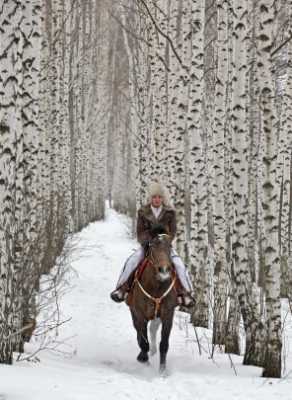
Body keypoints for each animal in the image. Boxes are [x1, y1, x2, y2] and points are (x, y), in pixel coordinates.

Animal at [128, 233, 178, 374]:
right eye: (153, 246)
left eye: (170, 246)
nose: (164, 270)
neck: (156, 288)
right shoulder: (140, 314)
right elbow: (143, 340)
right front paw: (143, 359)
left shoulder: (167, 315)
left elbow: (164, 344)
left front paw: (162, 371)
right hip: (134, 313)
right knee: (139, 331)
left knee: (153, 329)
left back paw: (153, 351)